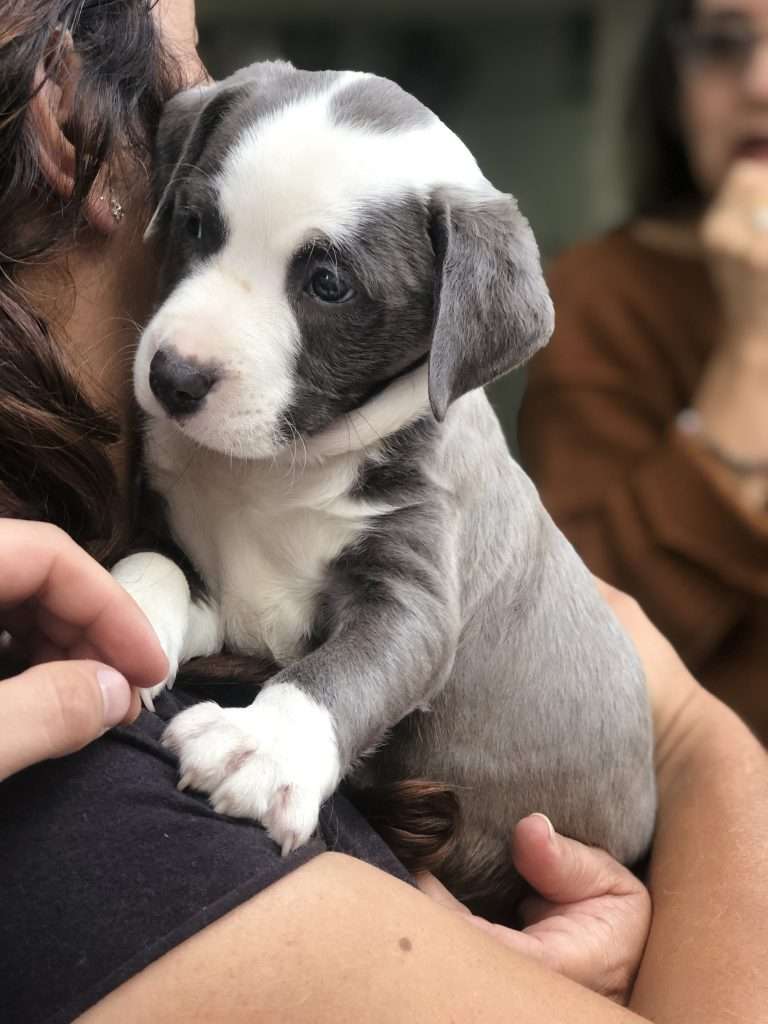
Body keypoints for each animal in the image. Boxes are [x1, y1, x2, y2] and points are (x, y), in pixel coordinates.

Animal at [112, 59, 655, 909]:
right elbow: (157, 562)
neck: (279, 465)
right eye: (196, 225)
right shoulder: (212, 577)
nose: (174, 378)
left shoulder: (414, 590)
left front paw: (264, 744)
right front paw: (119, 613)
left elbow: (347, 668)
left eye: (329, 285)